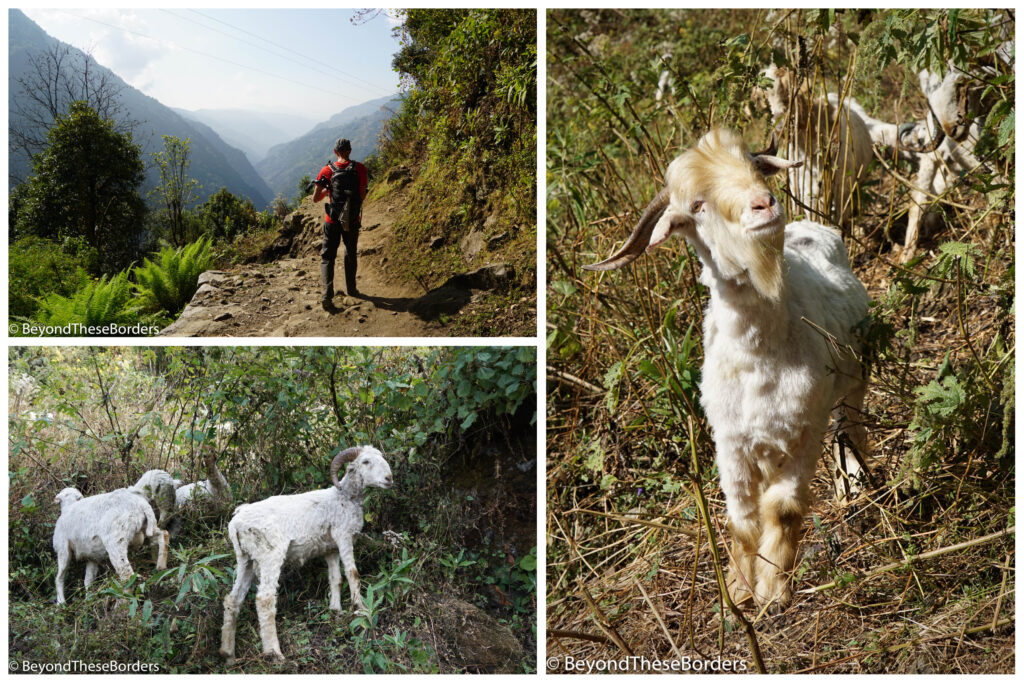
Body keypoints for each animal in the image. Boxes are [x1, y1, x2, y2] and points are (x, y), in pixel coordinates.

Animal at [221, 446, 395, 663]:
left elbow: (335, 578)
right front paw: (361, 608)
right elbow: (352, 574)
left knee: (232, 600)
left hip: (246, 559)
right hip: (270, 556)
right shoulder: (343, 537)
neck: (344, 498)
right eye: (365, 462)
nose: (389, 478)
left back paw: (228, 654)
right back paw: (275, 653)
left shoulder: (330, 548)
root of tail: (236, 523)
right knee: (264, 600)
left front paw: (336, 610)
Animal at [585, 131, 872, 610]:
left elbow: (783, 509)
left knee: (850, 425)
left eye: (755, 169)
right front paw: (738, 591)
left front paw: (773, 591)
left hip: (854, 379)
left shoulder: (805, 428)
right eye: (697, 205)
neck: (758, 358)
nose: (764, 204)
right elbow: (741, 517)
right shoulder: (730, 441)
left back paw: (856, 484)